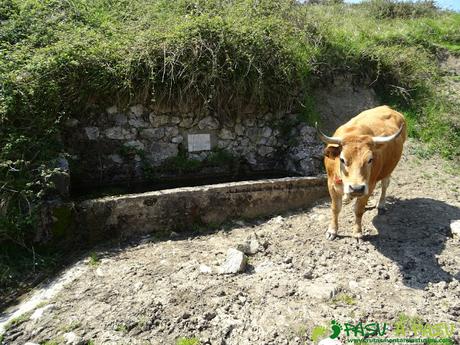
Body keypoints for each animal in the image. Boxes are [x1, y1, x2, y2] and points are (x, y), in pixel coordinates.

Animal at [316, 105, 406, 242]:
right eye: (342, 159)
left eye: (370, 160)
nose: (357, 188)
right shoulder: (331, 184)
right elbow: (335, 208)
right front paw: (332, 230)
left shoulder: (369, 185)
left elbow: (358, 210)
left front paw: (357, 232)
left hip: (388, 170)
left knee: (385, 185)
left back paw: (381, 204)